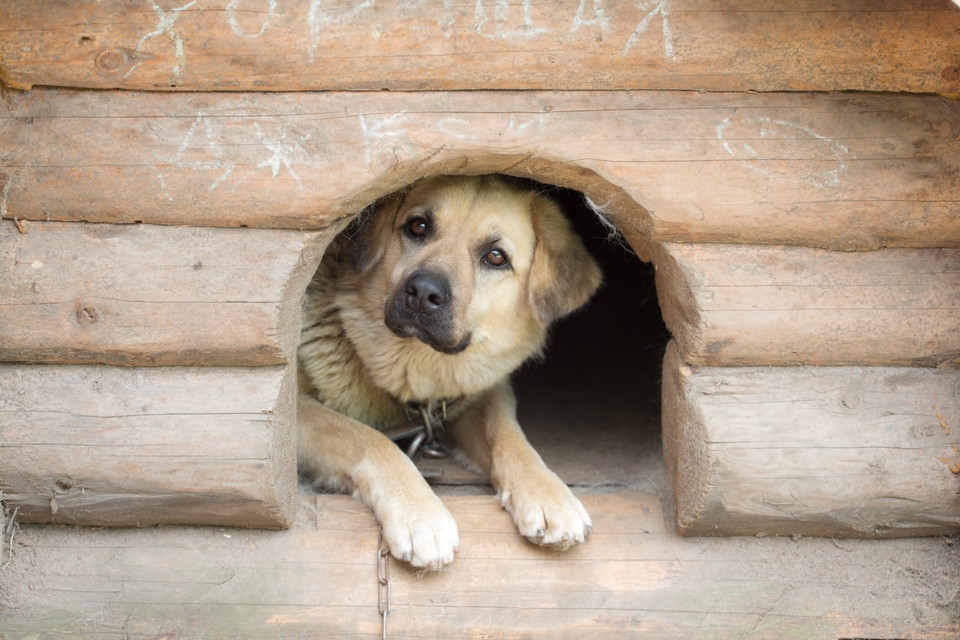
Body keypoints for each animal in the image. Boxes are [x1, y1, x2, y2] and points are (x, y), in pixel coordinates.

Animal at [298, 175, 600, 568]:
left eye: (496, 256)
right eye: (418, 227)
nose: (423, 292)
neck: (415, 367)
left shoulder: (478, 396)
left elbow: (507, 435)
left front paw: (549, 493)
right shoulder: (294, 410)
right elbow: (370, 439)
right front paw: (419, 512)